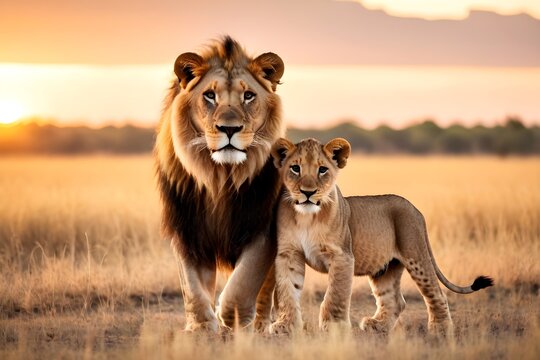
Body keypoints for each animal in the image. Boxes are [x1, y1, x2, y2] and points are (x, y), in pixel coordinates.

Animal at [154, 36, 284, 332]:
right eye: (209, 96)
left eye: (248, 96)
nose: (229, 129)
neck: (220, 178)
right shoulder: (188, 231)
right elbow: (192, 288)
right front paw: (201, 326)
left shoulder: (261, 229)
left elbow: (243, 283)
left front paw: (230, 317)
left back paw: (261, 325)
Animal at [268, 137, 492, 338]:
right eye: (295, 168)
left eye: (322, 170)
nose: (308, 192)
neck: (307, 217)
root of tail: (415, 208)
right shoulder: (289, 254)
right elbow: (288, 291)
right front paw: (285, 326)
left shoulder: (342, 256)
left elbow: (335, 294)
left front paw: (333, 327)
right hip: (385, 268)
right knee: (395, 300)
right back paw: (378, 325)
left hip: (416, 254)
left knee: (437, 294)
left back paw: (441, 330)